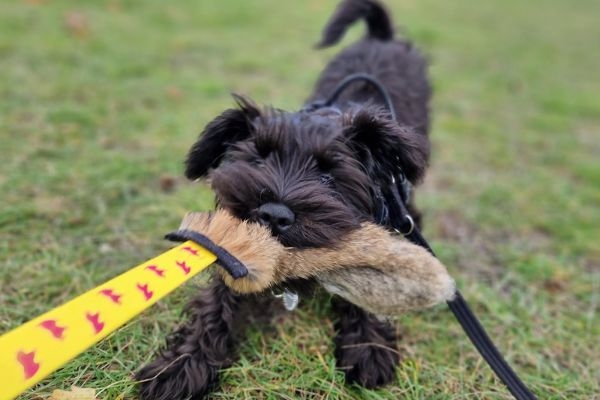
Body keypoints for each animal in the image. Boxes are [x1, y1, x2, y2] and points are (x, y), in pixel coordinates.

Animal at [136, 1, 428, 398]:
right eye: (258, 159)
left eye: (328, 175)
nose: (273, 214)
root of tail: (380, 39)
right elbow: (216, 303)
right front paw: (180, 366)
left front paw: (368, 347)